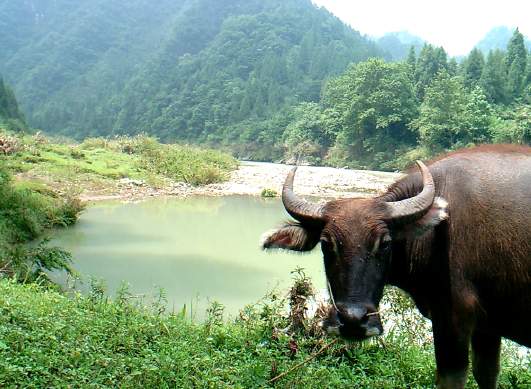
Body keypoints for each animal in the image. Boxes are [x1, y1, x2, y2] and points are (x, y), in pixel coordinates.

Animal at [262, 145, 531, 388]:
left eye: (385, 243)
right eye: (326, 244)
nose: (353, 321)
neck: (436, 233)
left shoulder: (454, 318)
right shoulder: (487, 327)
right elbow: (487, 374)